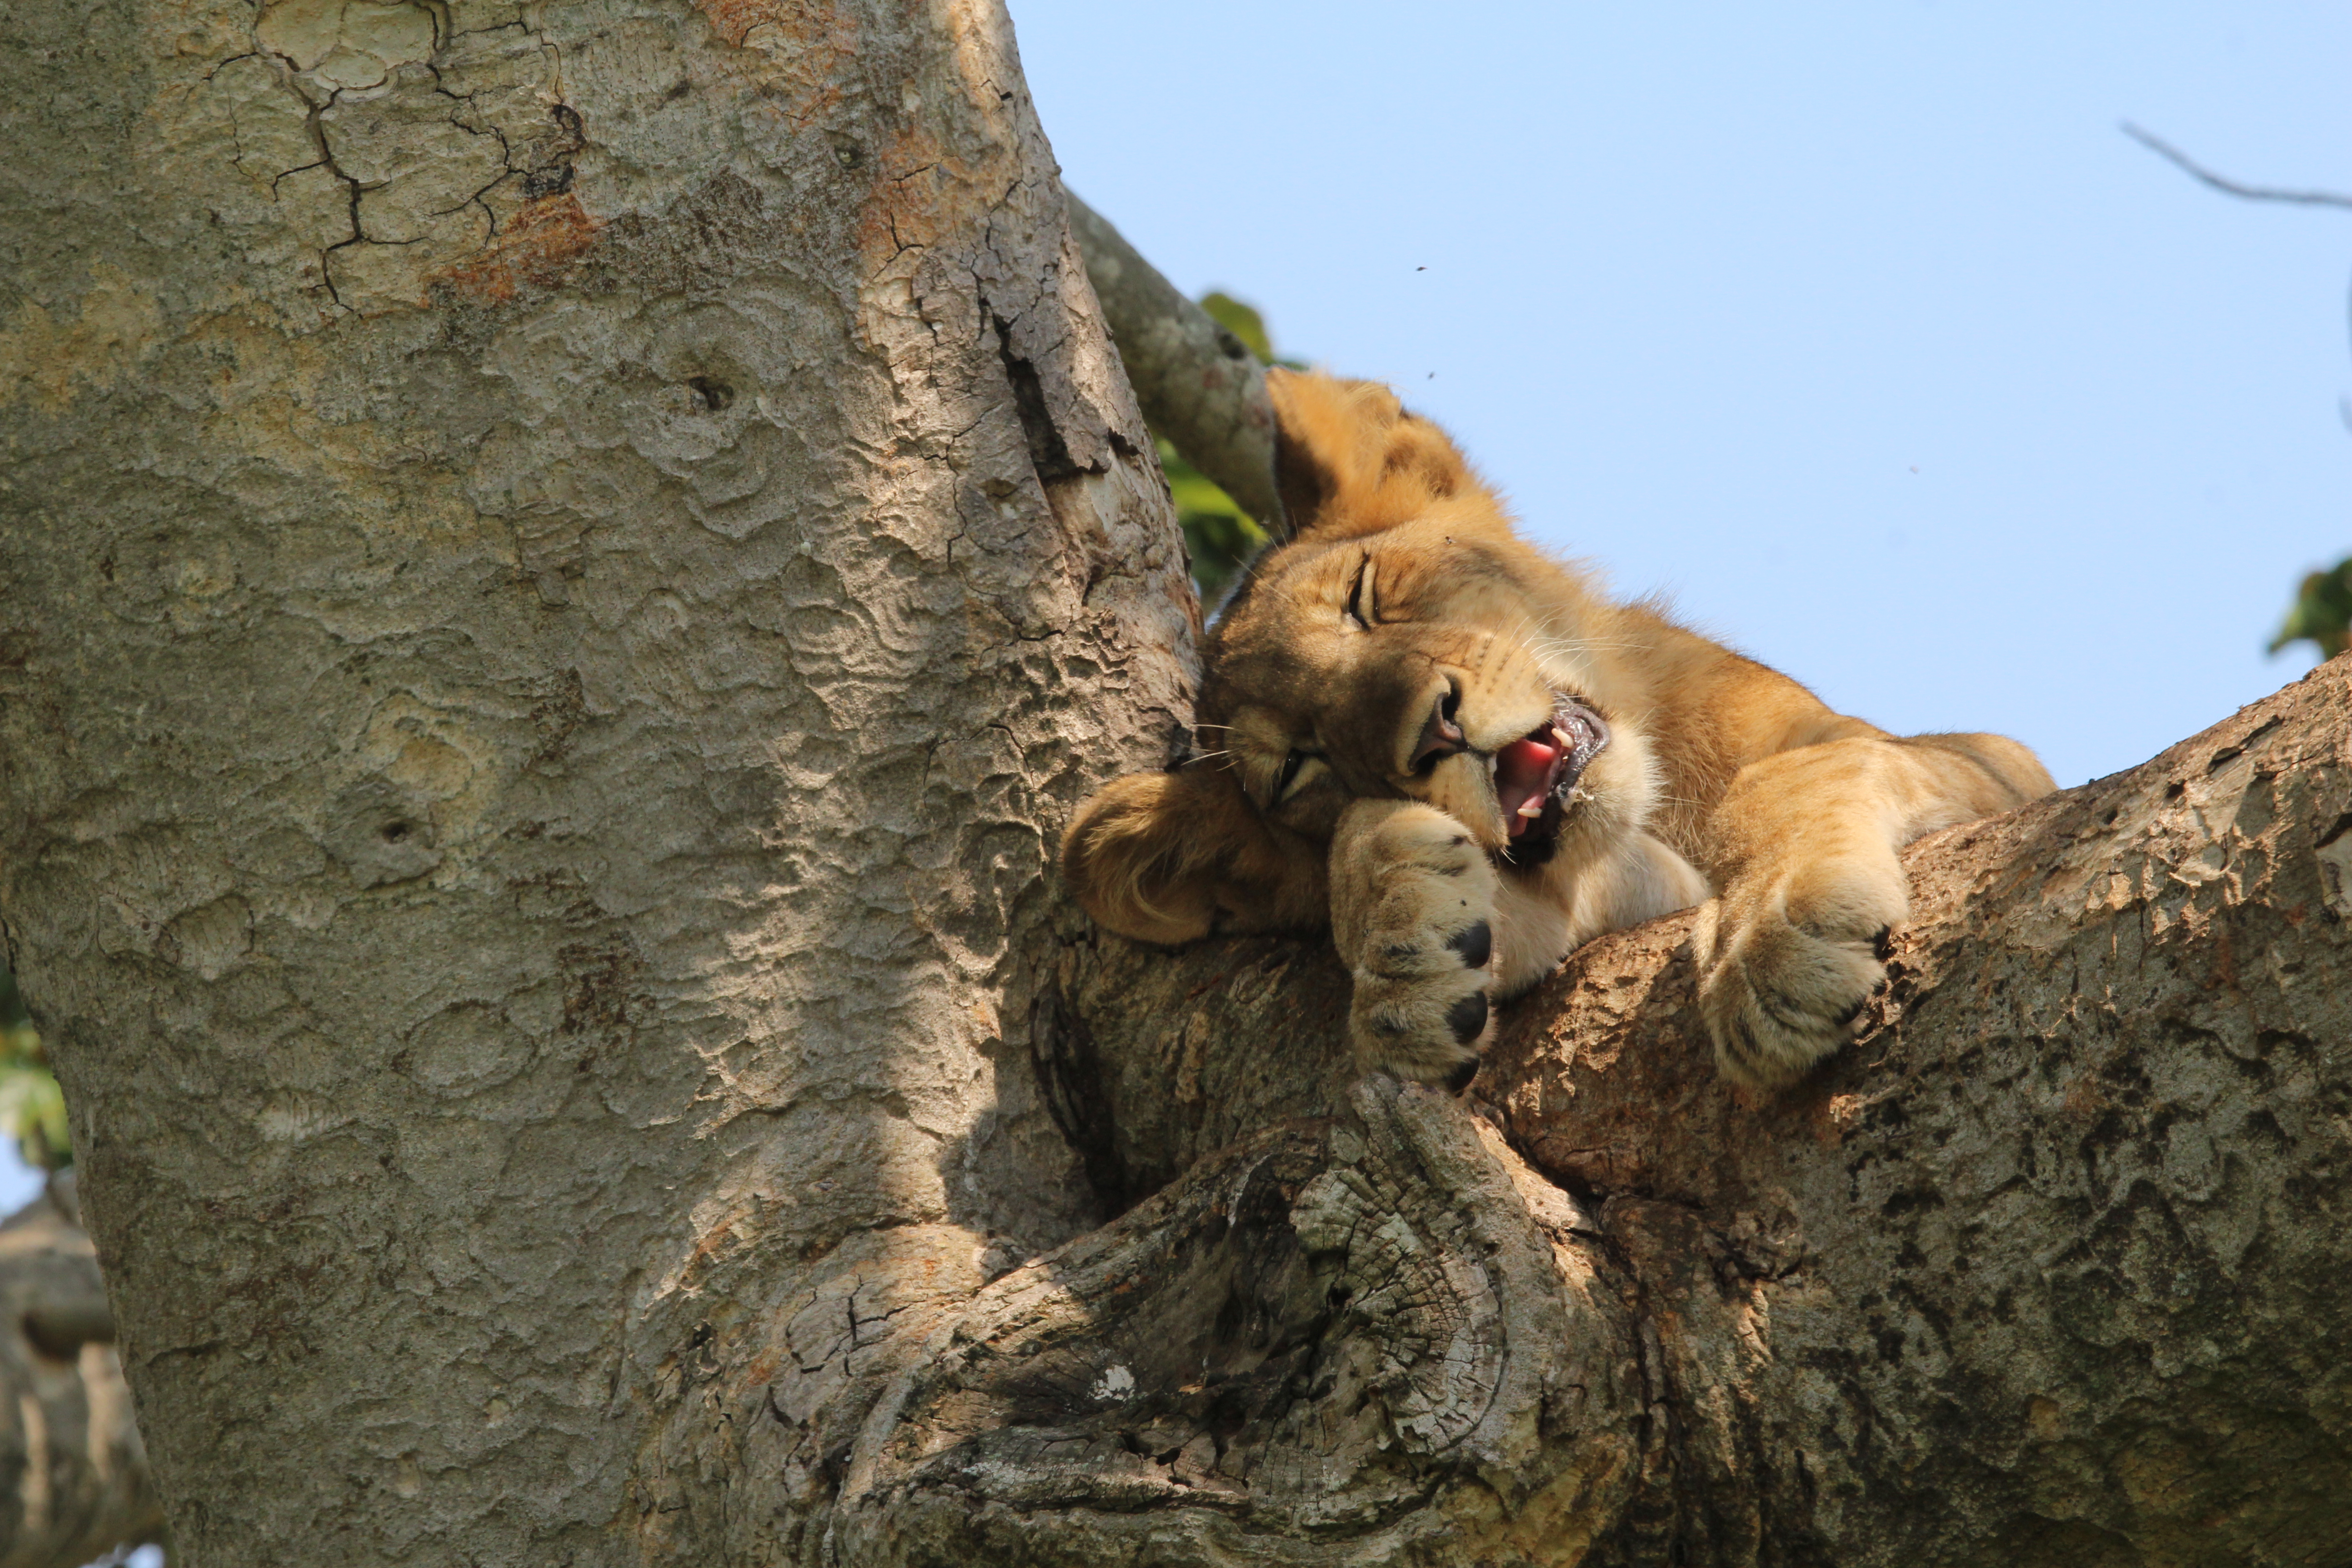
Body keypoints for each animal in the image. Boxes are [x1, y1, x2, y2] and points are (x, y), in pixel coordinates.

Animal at [1058, 373, 2051, 1091]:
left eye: (1364, 597)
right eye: (1299, 766)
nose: (1433, 732)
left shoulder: (2005, 765)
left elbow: (1789, 778)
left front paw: (1776, 936)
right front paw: (1400, 944)